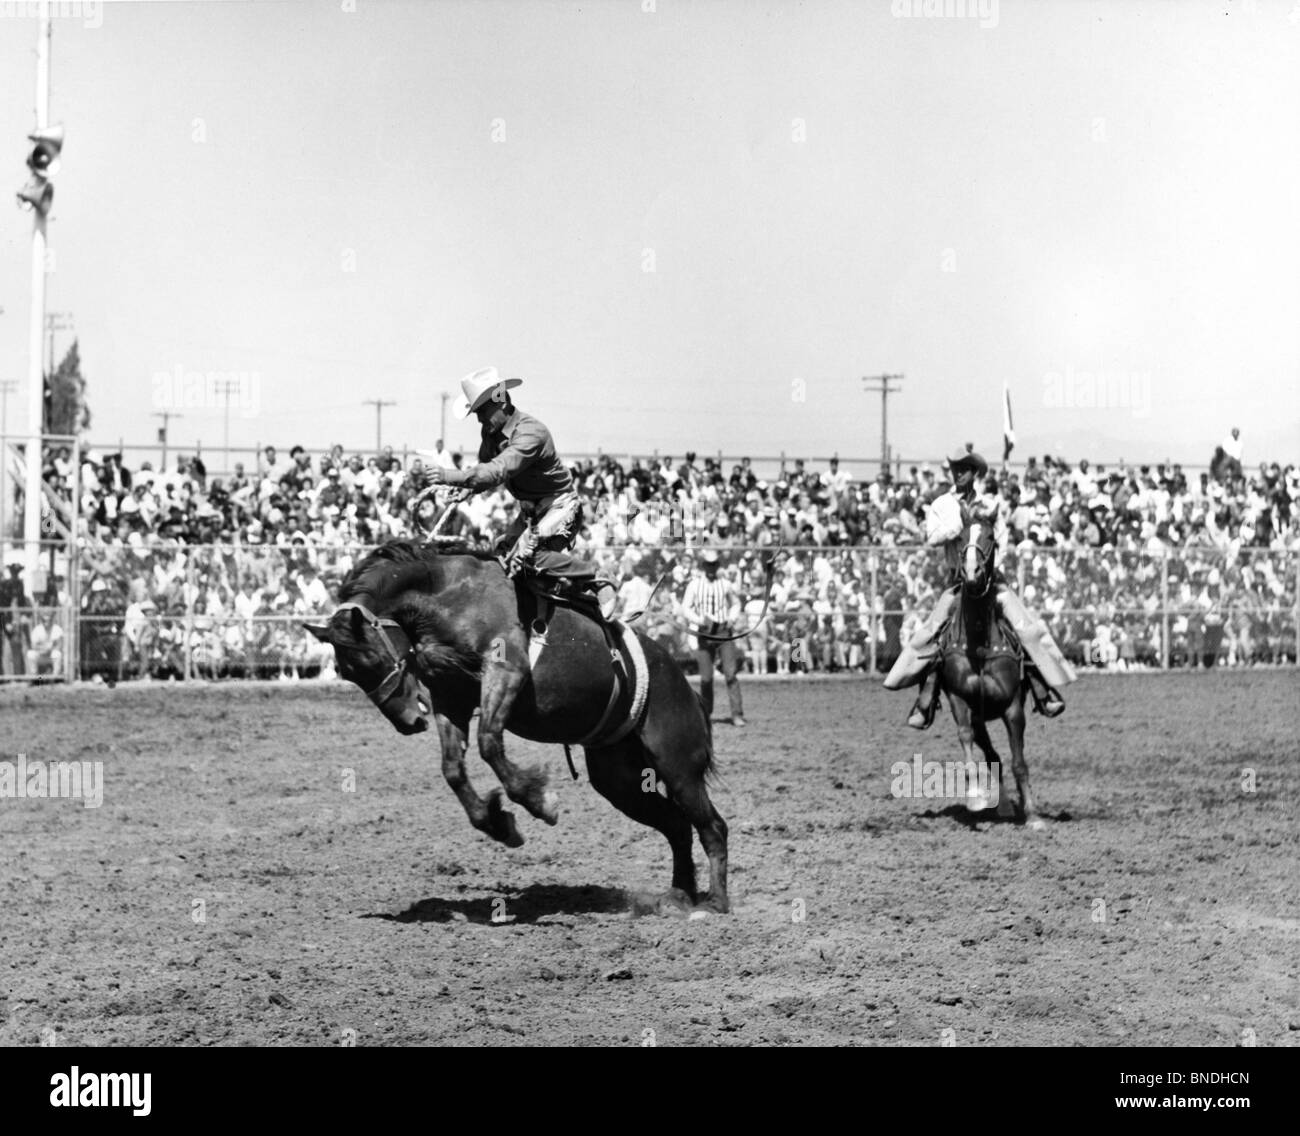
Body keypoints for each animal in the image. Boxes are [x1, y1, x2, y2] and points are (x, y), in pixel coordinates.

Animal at [305, 540, 731, 914]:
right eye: (346, 672)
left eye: (372, 657)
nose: (408, 722)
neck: (447, 596)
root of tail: (683, 683)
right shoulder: (450, 697)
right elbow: (453, 768)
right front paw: (498, 823)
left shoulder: (505, 671)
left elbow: (489, 743)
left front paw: (540, 801)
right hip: (619, 780)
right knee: (677, 825)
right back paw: (679, 897)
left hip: (677, 766)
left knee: (712, 826)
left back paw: (715, 903)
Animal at [936, 518, 1043, 829]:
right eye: (959, 538)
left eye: (990, 537)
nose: (972, 571)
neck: (980, 642)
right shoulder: (960, 699)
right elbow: (965, 738)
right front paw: (974, 796)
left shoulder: (1013, 706)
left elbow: (1019, 762)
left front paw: (1033, 815)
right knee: (992, 756)